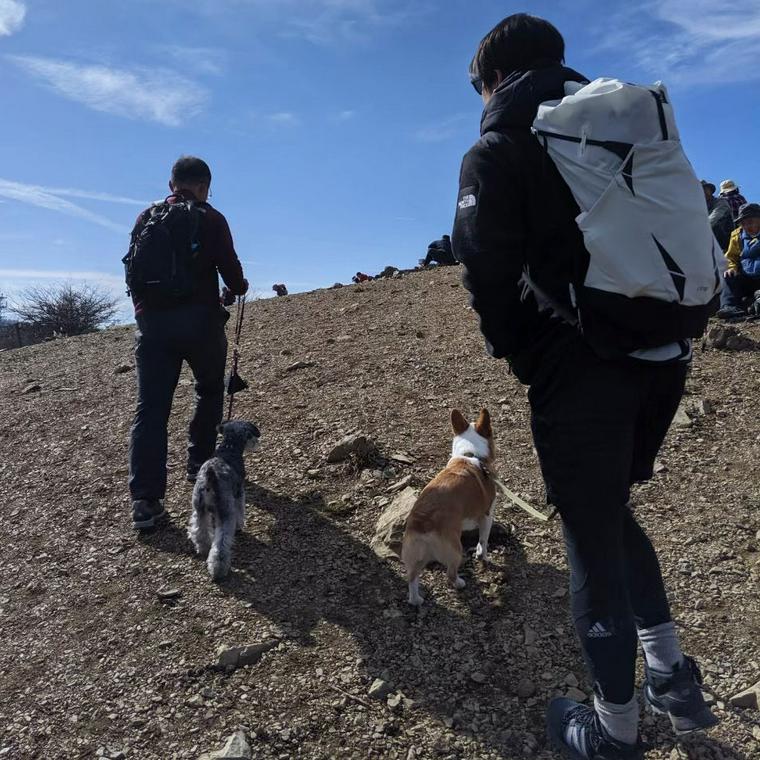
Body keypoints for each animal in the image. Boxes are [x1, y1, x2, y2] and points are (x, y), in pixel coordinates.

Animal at [187, 418, 262, 580]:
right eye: (251, 434)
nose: (257, 442)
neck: (229, 447)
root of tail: (210, 478)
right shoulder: (239, 494)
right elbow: (240, 511)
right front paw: (240, 525)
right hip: (226, 512)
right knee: (220, 545)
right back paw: (218, 569)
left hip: (199, 510)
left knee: (199, 531)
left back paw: (203, 548)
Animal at [400, 410, 496, 604]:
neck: (470, 454)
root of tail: (423, 523)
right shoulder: (487, 515)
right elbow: (484, 540)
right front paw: (483, 556)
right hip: (455, 550)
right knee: (450, 574)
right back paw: (460, 583)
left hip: (415, 557)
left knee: (412, 578)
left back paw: (417, 600)